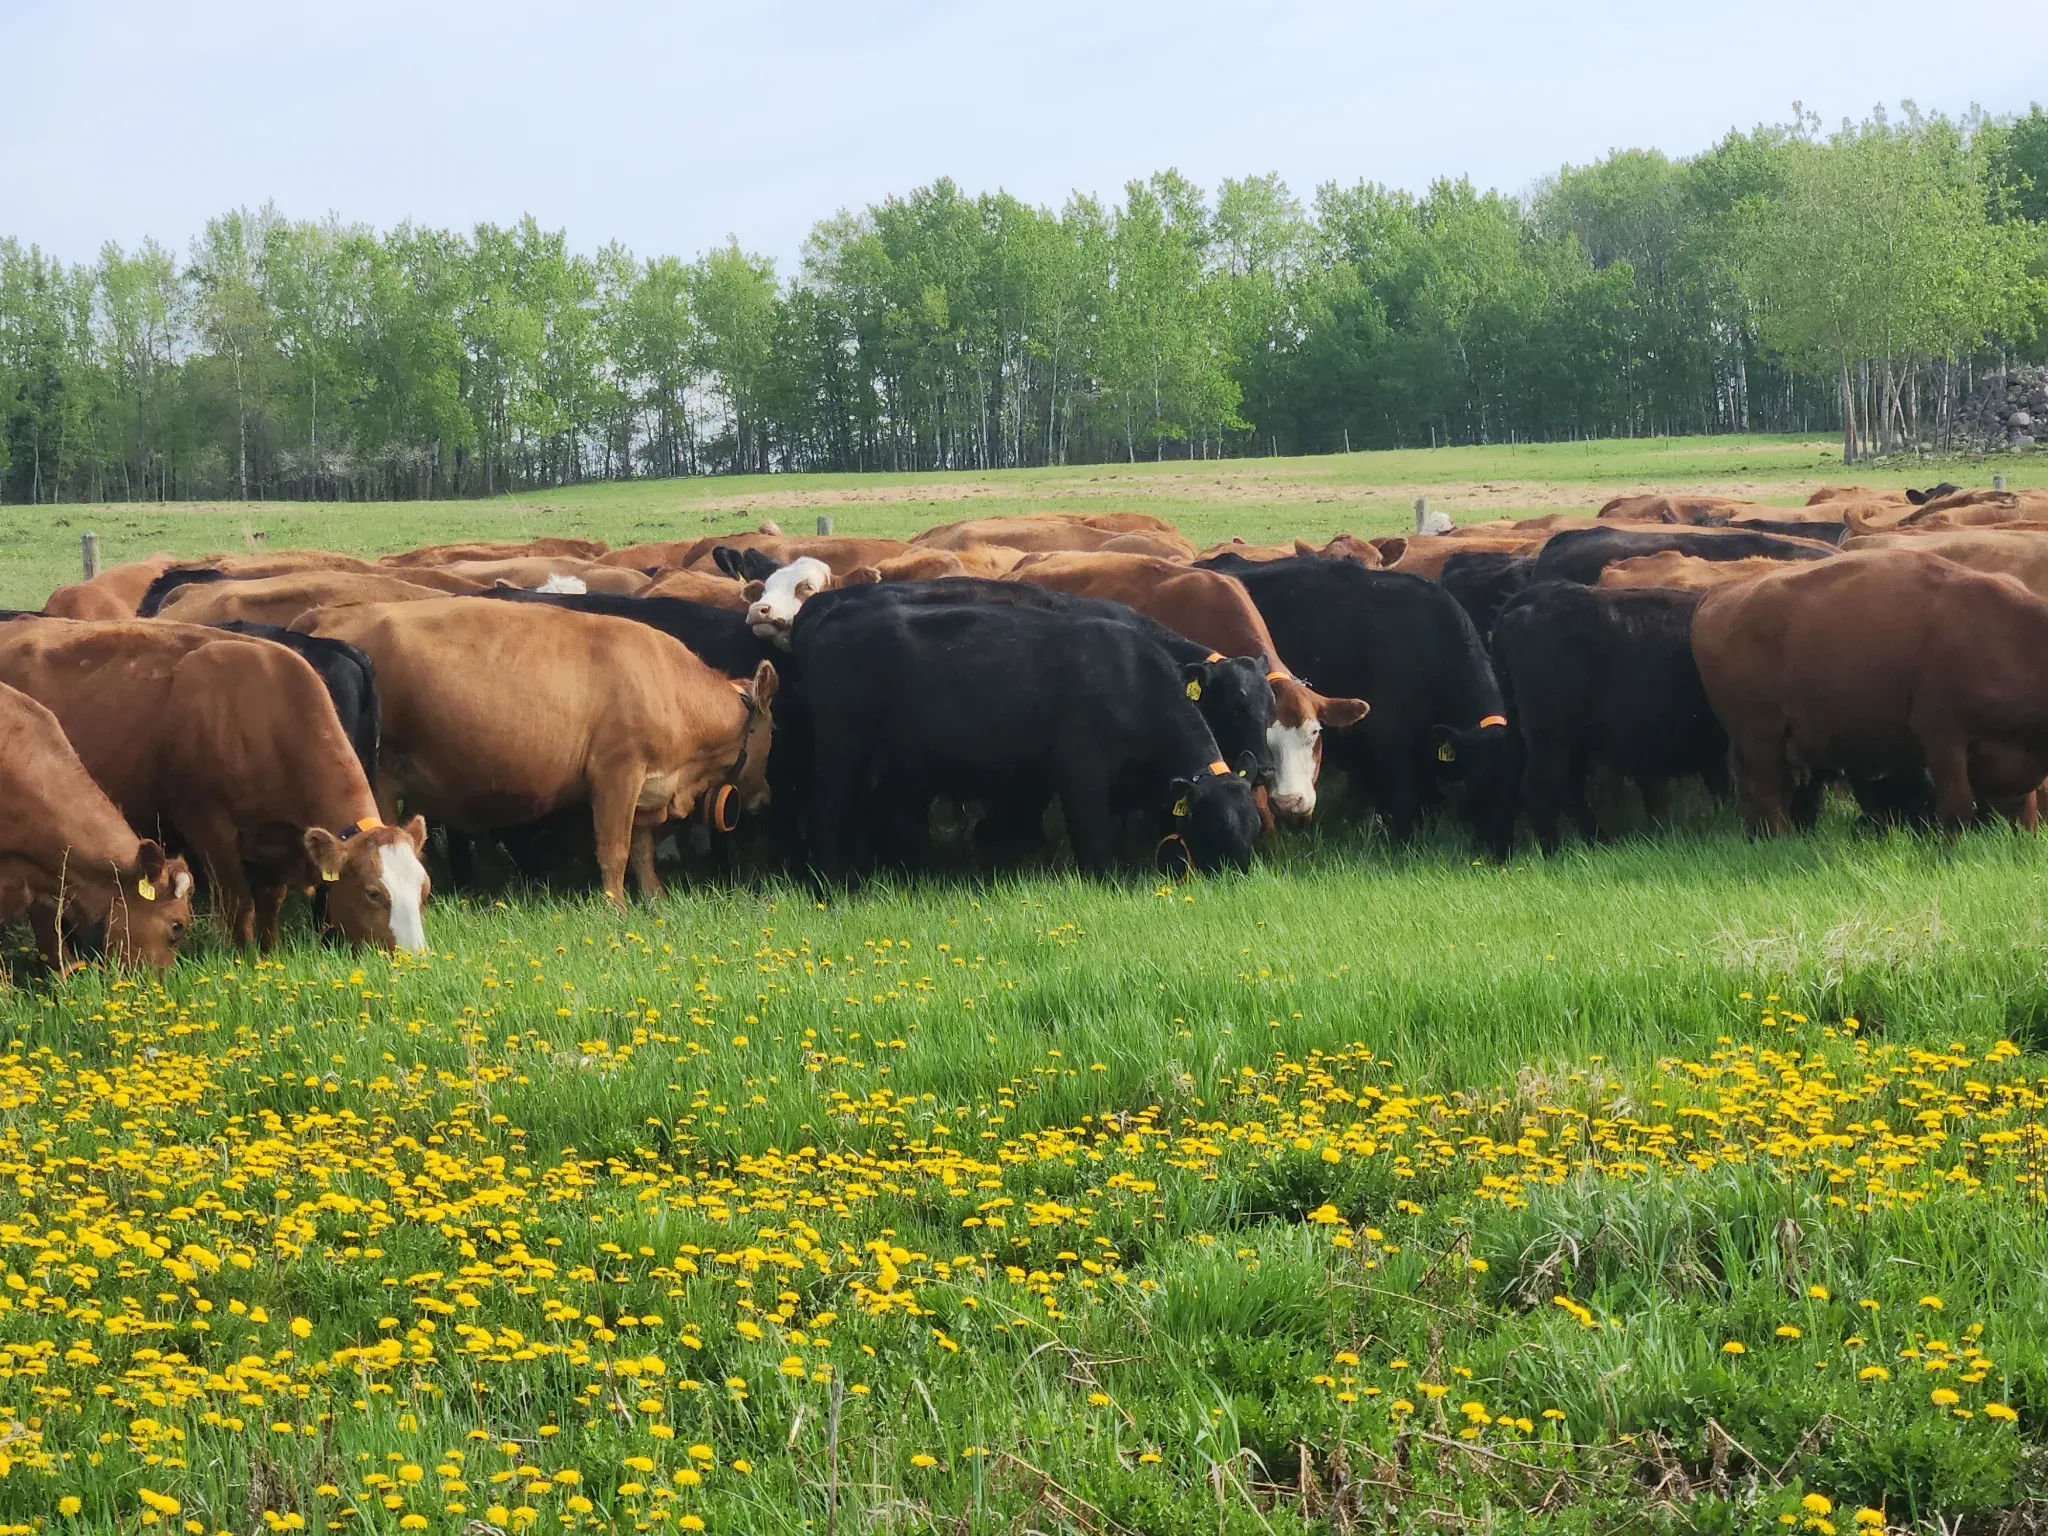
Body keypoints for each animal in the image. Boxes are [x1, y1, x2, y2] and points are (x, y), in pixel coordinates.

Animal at [295, 599, 777, 905]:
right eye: (775, 731)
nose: (764, 798)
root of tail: (325, 620)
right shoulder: (616, 774)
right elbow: (615, 850)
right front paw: (616, 910)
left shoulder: (644, 787)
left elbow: (641, 850)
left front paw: (655, 900)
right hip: (378, 779)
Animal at [791, 592, 1261, 880]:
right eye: (1218, 828)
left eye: (1254, 824)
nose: (1242, 876)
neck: (1131, 680)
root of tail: (833, 615)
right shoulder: (1081, 776)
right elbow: (1095, 840)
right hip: (841, 750)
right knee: (828, 812)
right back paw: (829, 882)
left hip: (903, 764)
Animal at [1490, 583, 1726, 852]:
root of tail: (1535, 595)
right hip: (1550, 735)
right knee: (1539, 788)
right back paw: (1554, 851)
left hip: (1558, 738)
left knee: (1551, 787)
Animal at [1692, 550, 2048, 833]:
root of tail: (1719, 594)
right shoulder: (1943, 738)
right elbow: (1956, 806)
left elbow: (2023, 808)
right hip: (1760, 738)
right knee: (1767, 795)